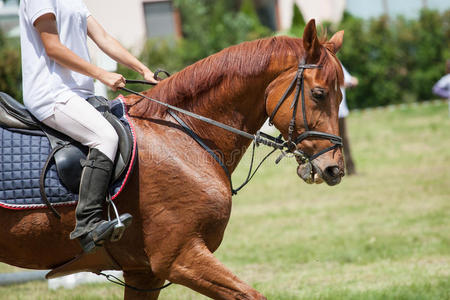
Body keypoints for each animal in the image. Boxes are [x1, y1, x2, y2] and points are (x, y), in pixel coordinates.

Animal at [0, 19, 344, 298]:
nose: (334, 169)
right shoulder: (179, 258)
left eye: (341, 95)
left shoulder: (144, 272)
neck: (183, 133)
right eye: (319, 94)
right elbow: (252, 295)